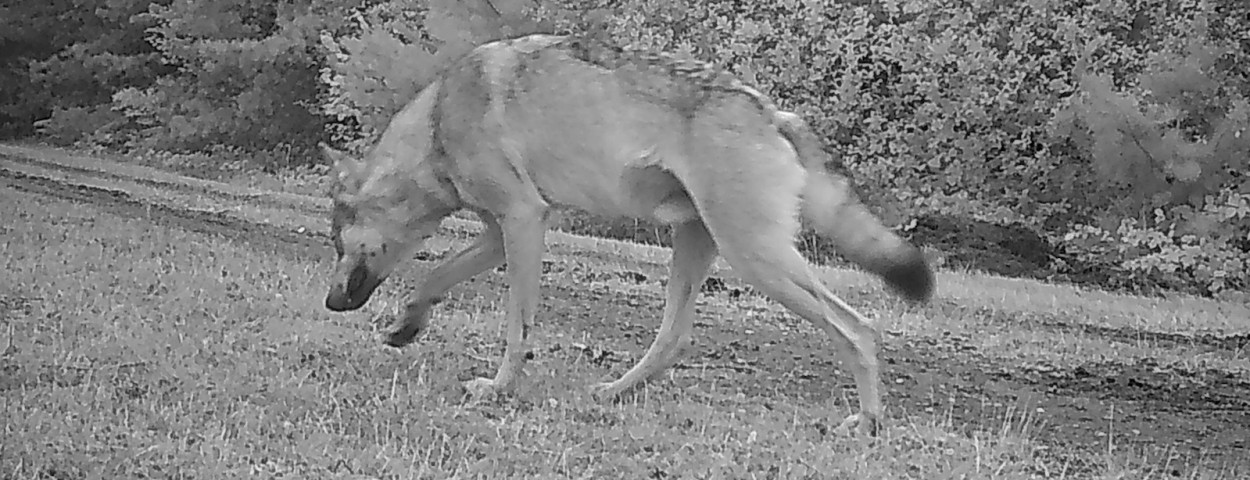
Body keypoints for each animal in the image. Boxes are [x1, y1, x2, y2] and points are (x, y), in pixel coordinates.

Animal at [321, 34, 934, 435]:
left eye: (335, 242)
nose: (328, 303)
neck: (437, 120)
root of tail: (774, 114)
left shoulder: (523, 218)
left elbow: (517, 331)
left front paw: (498, 391)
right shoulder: (501, 233)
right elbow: (430, 278)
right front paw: (406, 327)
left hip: (757, 260)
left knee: (859, 328)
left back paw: (868, 423)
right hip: (700, 249)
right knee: (672, 340)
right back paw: (610, 394)